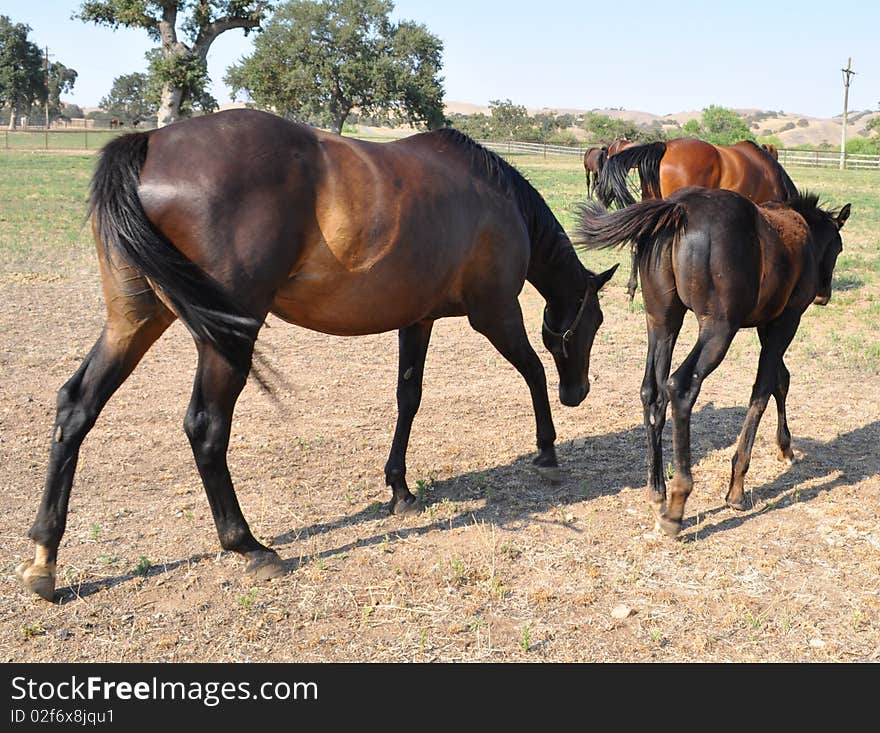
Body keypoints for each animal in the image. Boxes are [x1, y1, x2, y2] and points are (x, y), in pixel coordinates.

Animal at [15, 107, 620, 600]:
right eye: (593, 323)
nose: (579, 392)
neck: (497, 202)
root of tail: (151, 143)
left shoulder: (417, 319)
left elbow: (408, 396)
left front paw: (400, 488)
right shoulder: (495, 313)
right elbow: (533, 371)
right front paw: (547, 450)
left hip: (136, 320)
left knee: (77, 406)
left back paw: (45, 558)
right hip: (224, 336)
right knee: (206, 427)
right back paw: (249, 546)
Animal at [576, 186, 848, 536]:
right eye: (838, 247)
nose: (823, 295)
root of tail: (678, 207)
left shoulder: (767, 325)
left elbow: (780, 381)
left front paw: (785, 447)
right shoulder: (786, 321)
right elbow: (762, 392)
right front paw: (737, 488)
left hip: (662, 321)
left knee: (652, 392)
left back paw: (657, 494)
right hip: (719, 328)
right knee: (680, 387)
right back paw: (677, 504)